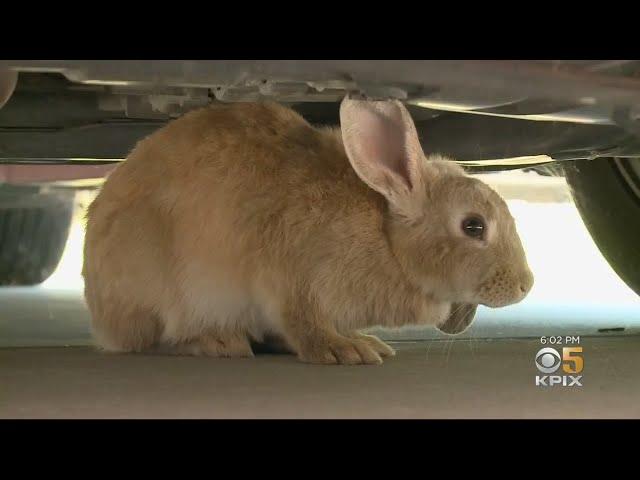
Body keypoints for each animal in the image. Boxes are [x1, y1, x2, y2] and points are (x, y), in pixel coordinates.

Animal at [84, 98, 536, 368]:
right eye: (473, 226)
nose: (526, 285)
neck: (387, 240)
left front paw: (362, 342)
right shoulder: (292, 283)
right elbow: (305, 324)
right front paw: (346, 350)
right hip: (164, 291)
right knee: (154, 339)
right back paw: (218, 342)